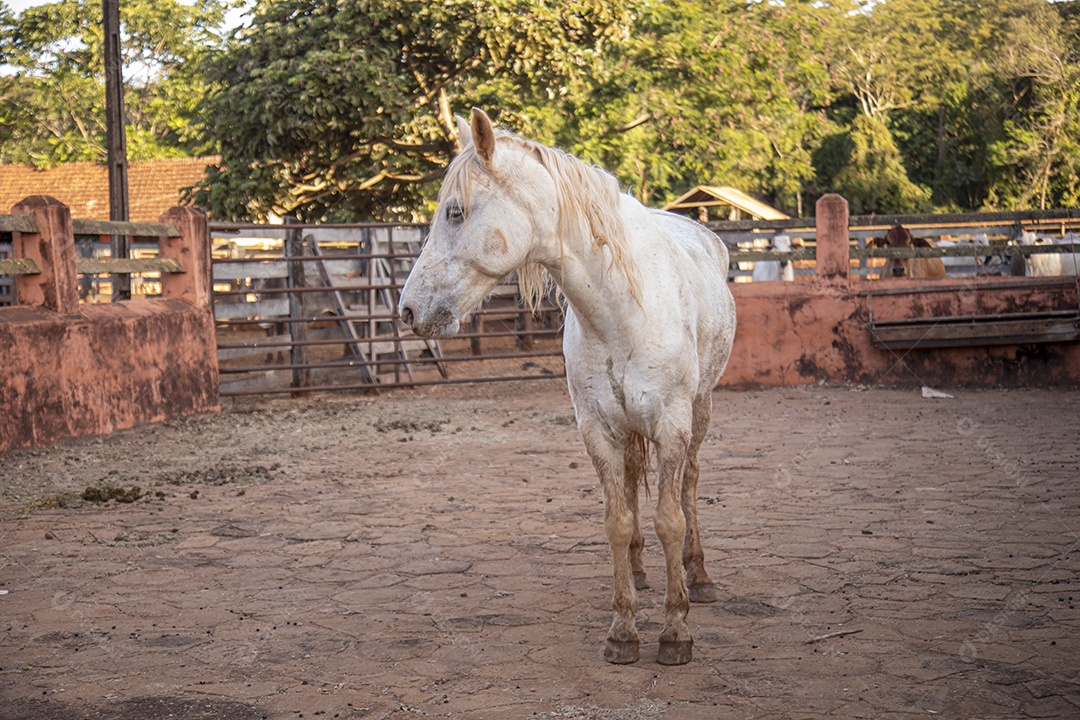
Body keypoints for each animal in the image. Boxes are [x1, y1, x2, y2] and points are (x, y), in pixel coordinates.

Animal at [399, 108, 736, 665]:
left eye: (455, 212)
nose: (408, 310)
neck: (623, 308)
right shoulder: (597, 428)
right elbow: (617, 520)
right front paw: (623, 630)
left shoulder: (671, 424)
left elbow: (669, 519)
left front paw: (675, 630)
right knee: (631, 483)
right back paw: (639, 572)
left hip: (701, 411)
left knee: (689, 485)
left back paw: (701, 575)